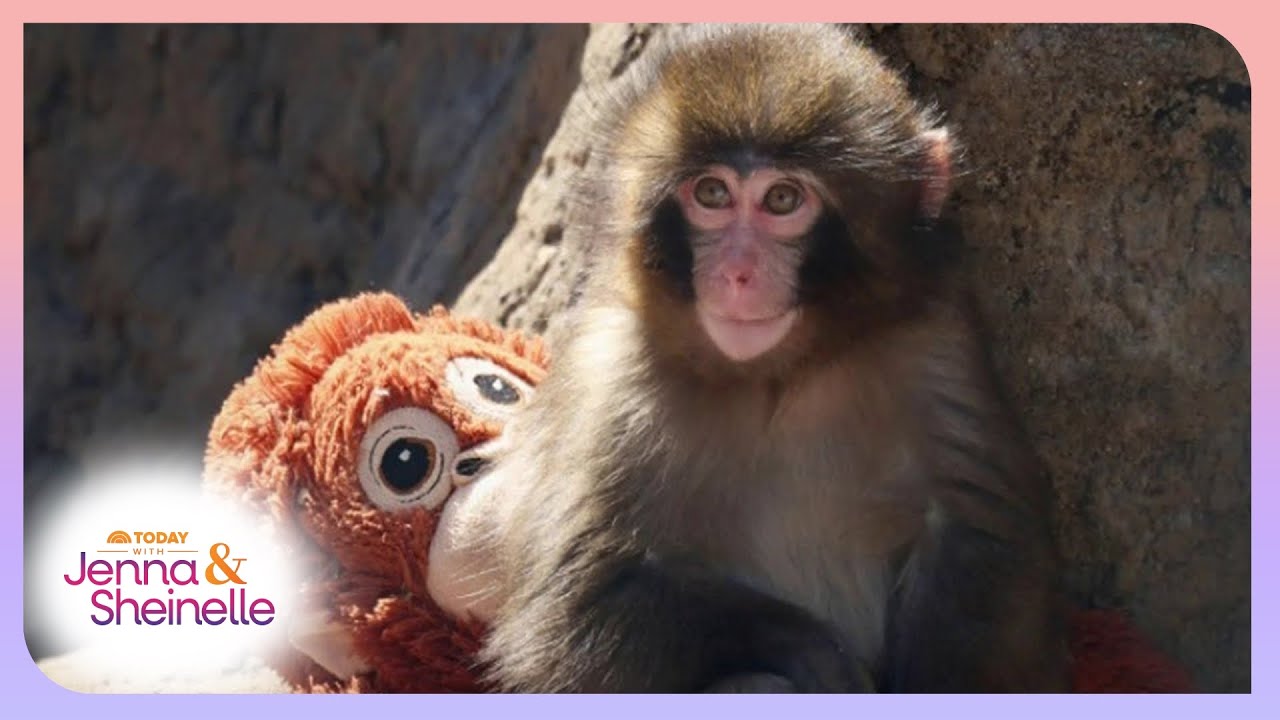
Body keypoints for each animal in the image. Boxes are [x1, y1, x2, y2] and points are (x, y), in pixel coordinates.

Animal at [436, 23, 1069, 693]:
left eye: (783, 199)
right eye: (712, 193)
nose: (738, 273)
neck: (777, 375)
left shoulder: (933, 343)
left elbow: (979, 537)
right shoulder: (609, 377)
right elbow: (577, 611)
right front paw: (813, 651)